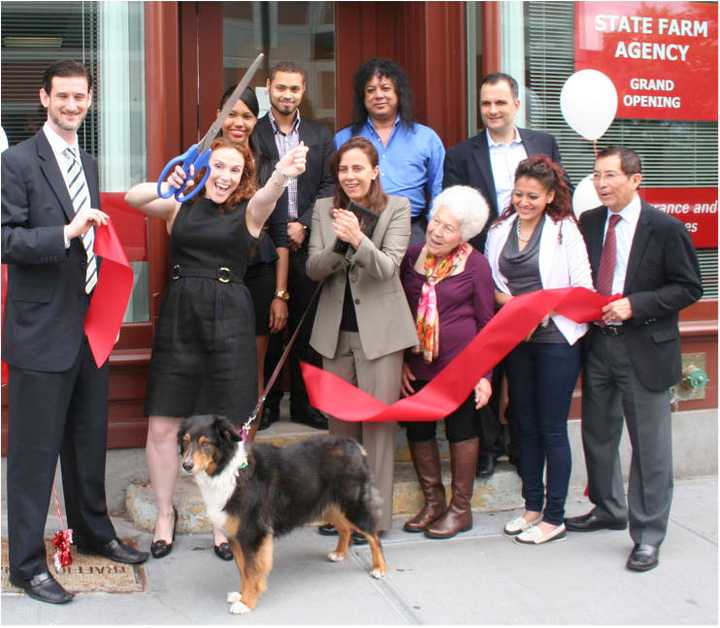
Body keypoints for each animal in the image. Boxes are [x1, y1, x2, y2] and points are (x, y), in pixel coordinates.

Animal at [179, 414, 388, 616]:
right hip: (330, 506)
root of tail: (355, 445)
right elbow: (242, 569)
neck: (229, 471)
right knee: (345, 528)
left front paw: (246, 602)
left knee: (373, 536)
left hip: (353, 506)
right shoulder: (235, 534)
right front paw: (240, 594)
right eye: (185, 441)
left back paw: (379, 568)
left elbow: (251, 570)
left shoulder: (253, 533)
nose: (186, 465)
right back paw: (339, 553)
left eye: (206, 443)